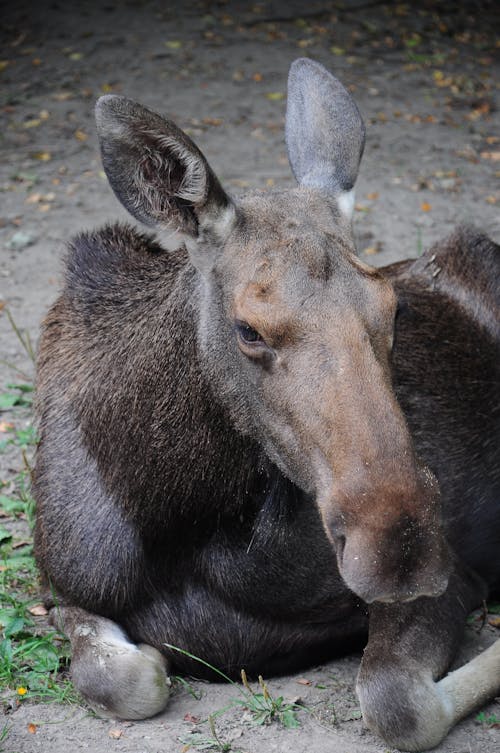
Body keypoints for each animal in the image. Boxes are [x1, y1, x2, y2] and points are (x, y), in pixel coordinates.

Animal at [33, 60, 498, 752]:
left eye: (395, 309)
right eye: (248, 329)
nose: (401, 546)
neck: (171, 508)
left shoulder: (453, 576)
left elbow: (395, 702)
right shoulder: (60, 584)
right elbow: (122, 678)